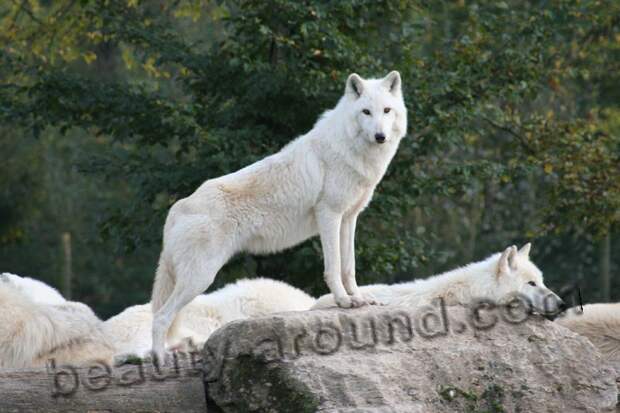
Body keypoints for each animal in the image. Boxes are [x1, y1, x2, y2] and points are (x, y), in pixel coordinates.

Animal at [150, 71, 406, 358]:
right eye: (366, 112)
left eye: (386, 110)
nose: (380, 136)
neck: (350, 149)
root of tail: (177, 208)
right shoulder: (329, 215)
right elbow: (333, 267)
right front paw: (343, 301)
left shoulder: (349, 218)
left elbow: (348, 266)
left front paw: (359, 298)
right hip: (200, 279)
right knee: (160, 317)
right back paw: (160, 360)